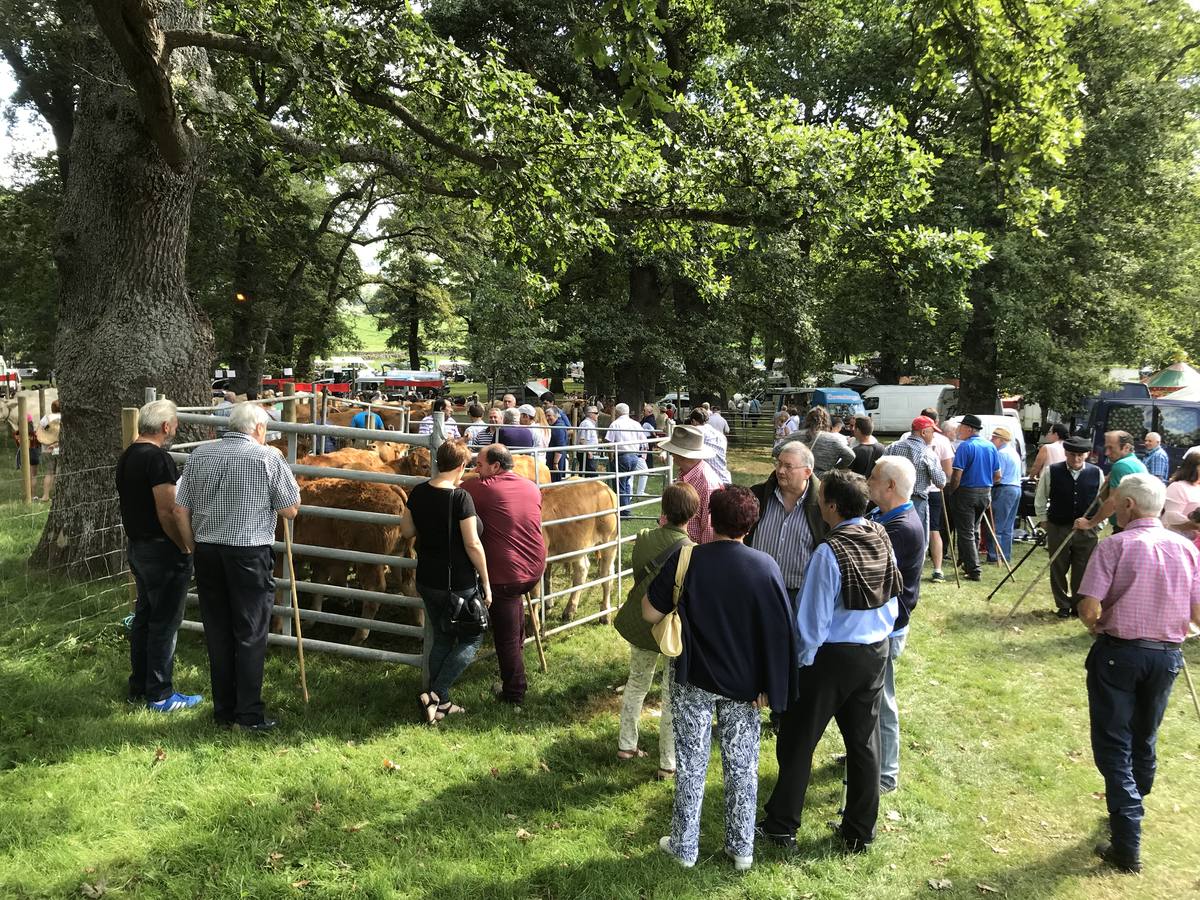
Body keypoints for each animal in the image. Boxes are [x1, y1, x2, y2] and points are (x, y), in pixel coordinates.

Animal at [542, 482, 624, 624]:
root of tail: (604, 486)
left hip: (609, 541)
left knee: (606, 576)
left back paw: (605, 614)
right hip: (579, 546)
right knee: (582, 569)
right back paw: (569, 610)